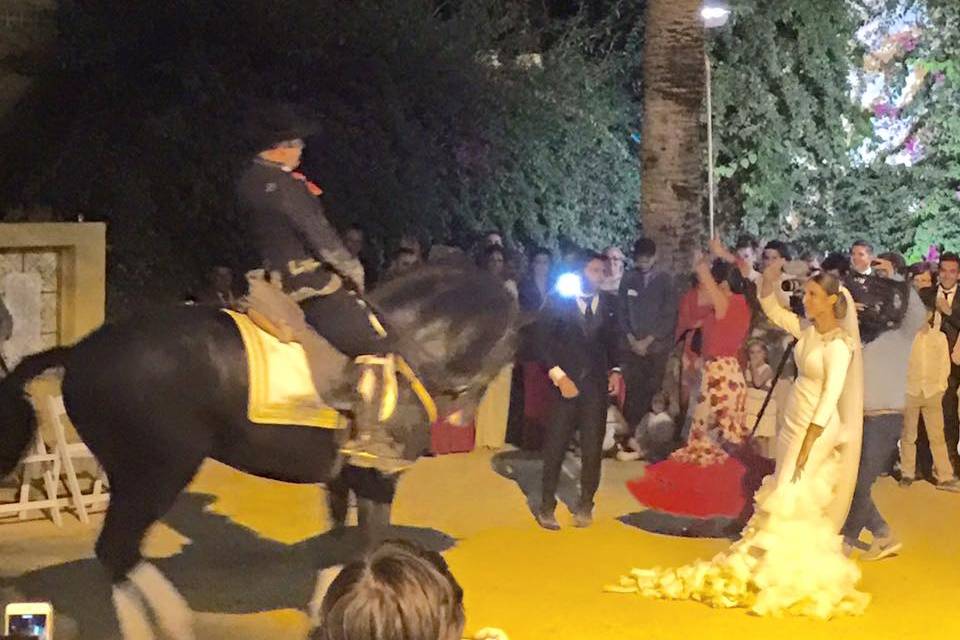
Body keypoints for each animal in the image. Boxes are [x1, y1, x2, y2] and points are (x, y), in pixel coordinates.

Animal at [0, 262, 516, 636]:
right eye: (510, 344)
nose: (462, 417)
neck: (404, 346)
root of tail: (78, 352)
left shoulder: (342, 477)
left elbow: (335, 540)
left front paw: (326, 603)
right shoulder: (376, 479)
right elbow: (369, 543)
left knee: (118, 555)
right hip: (157, 471)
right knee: (117, 550)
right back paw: (173, 620)